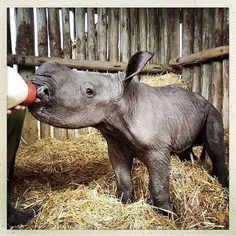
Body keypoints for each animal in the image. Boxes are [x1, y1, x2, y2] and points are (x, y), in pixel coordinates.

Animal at [28, 51, 229, 218]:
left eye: (89, 91)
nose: (37, 87)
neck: (125, 102)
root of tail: (203, 98)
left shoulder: (157, 150)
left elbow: (158, 187)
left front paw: (170, 217)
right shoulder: (116, 143)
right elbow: (123, 179)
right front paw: (125, 204)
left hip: (212, 110)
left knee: (215, 146)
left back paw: (223, 188)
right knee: (186, 149)